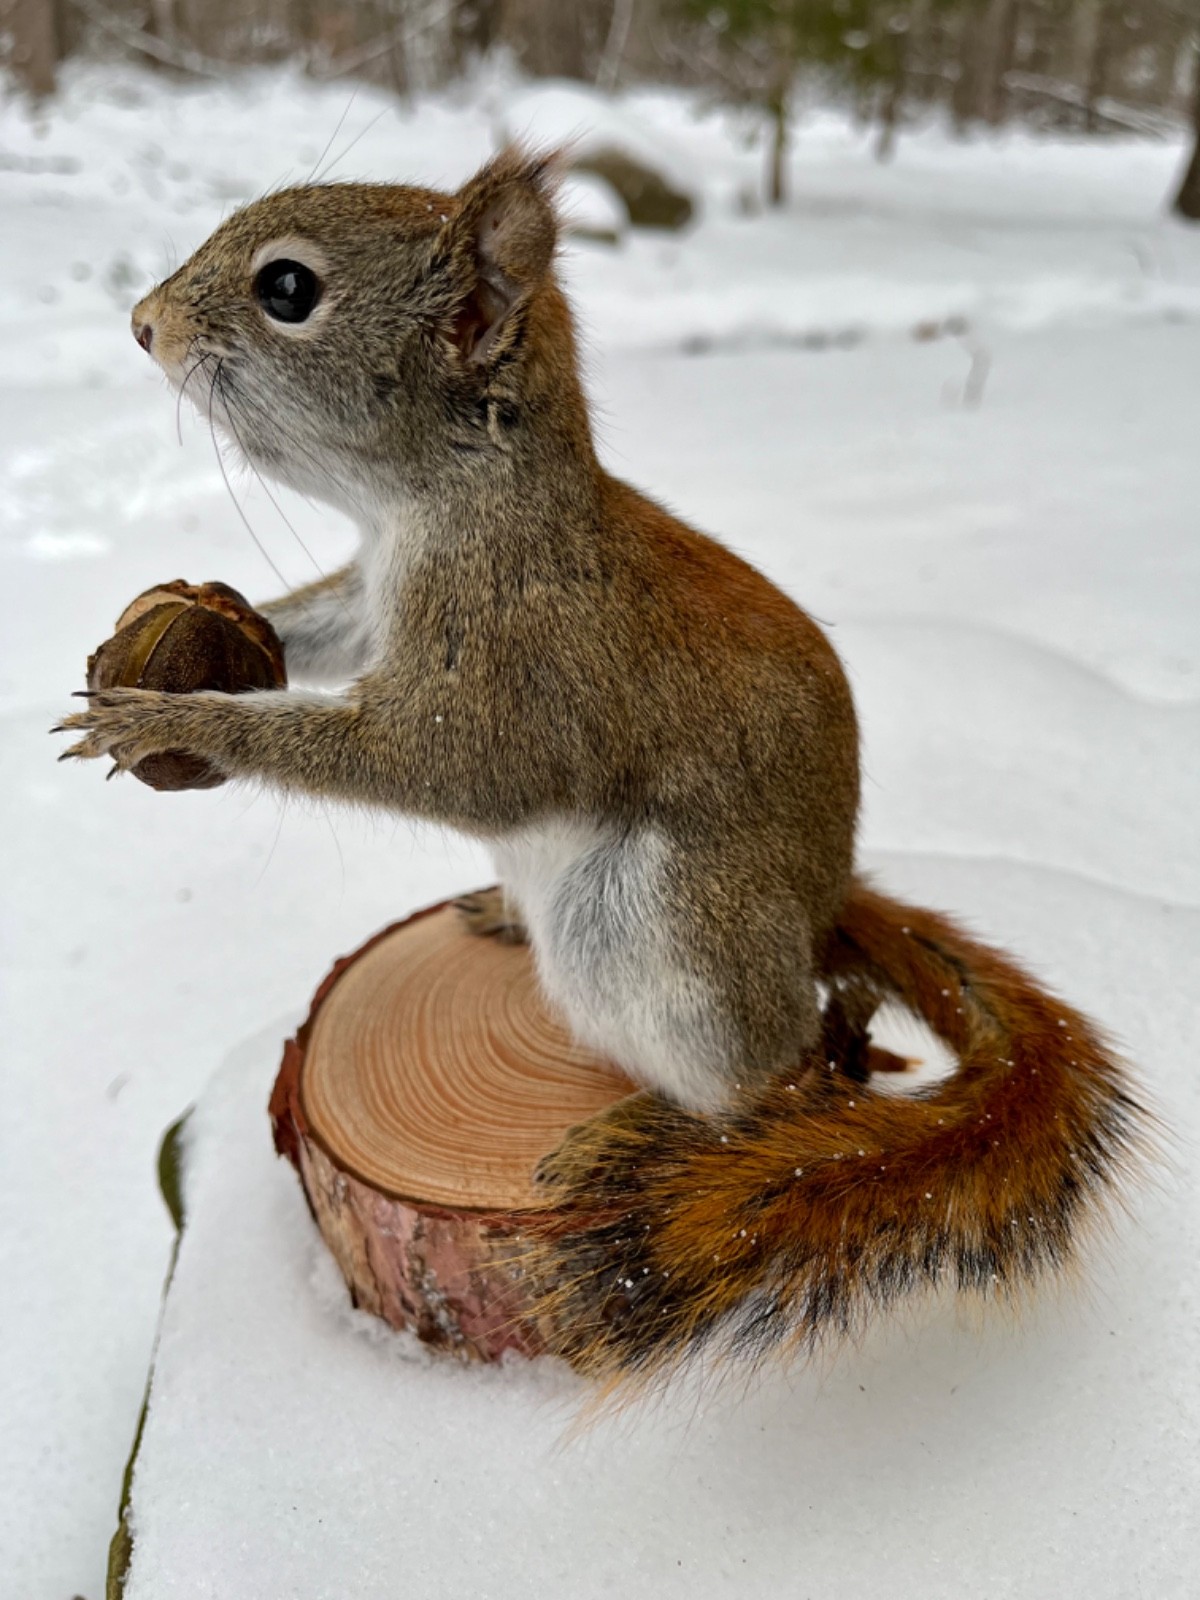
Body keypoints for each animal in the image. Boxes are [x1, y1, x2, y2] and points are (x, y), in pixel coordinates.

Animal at [57, 147, 1149, 1384]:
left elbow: (451, 770)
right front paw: (202, 612)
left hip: (662, 926)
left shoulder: (516, 667)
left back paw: (650, 1129)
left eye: (288, 290)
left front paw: (181, 721)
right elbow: (316, 627)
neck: (433, 509)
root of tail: (823, 912)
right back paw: (497, 911)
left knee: (771, 1078)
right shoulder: (370, 592)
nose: (142, 324)